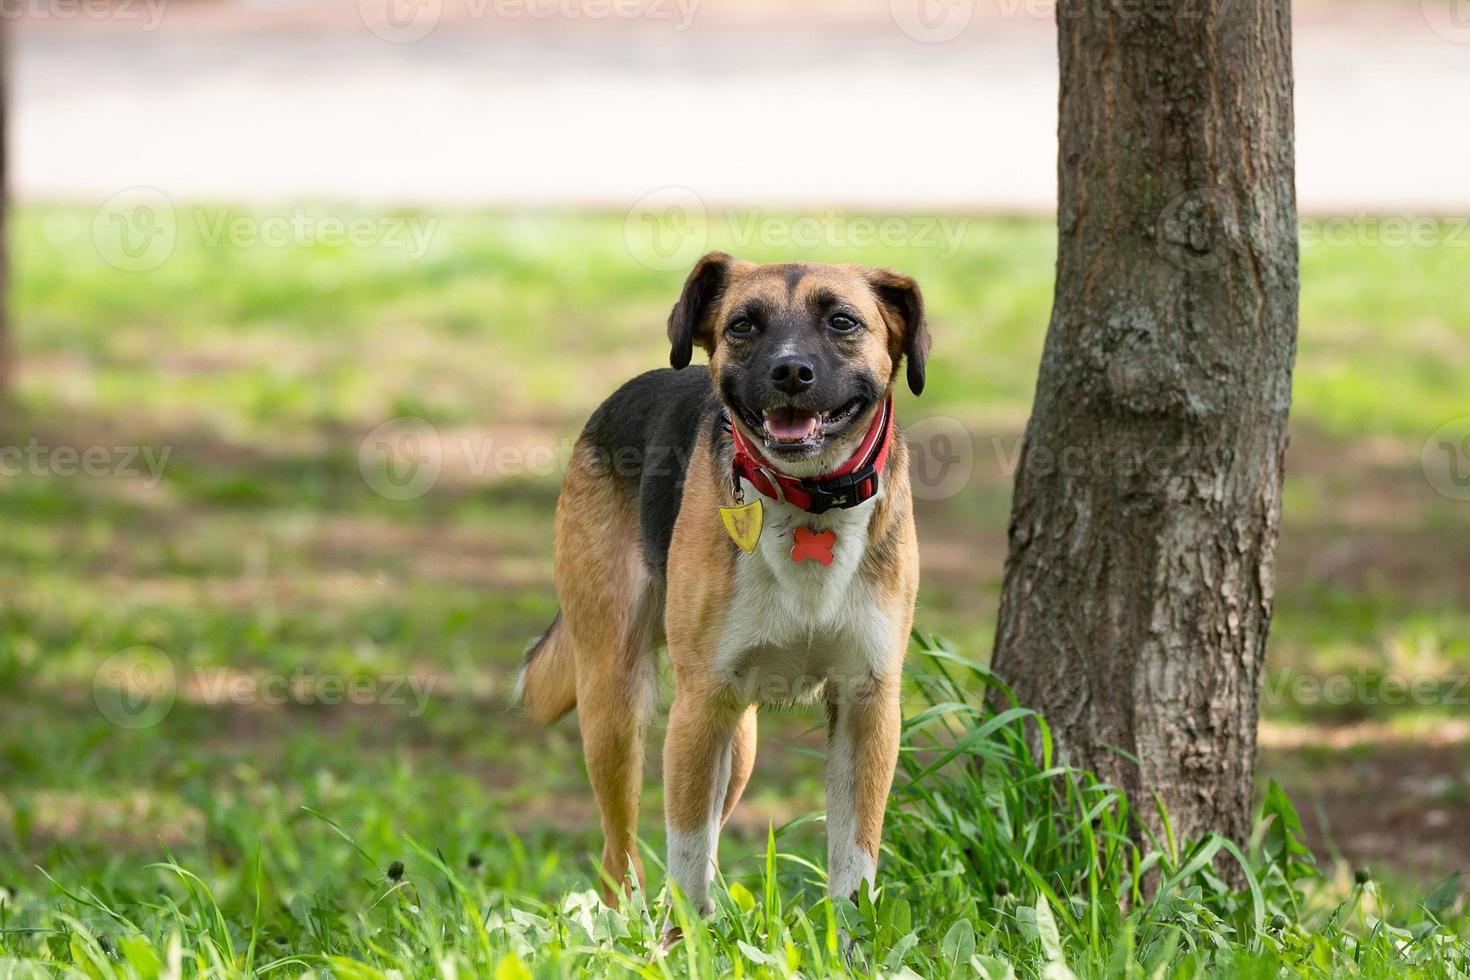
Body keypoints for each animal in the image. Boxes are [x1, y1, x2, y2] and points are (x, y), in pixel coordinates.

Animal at [523, 251, 923, 922]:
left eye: (842, 321)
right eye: (743, 325)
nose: (791, 371)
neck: (809, 503)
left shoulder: (868, 705)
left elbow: (853, 868)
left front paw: (852, 940)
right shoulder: (699, 706)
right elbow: (686, 862)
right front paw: (687, 941)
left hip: (741, 740)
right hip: (616, 703)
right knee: (619, 855)